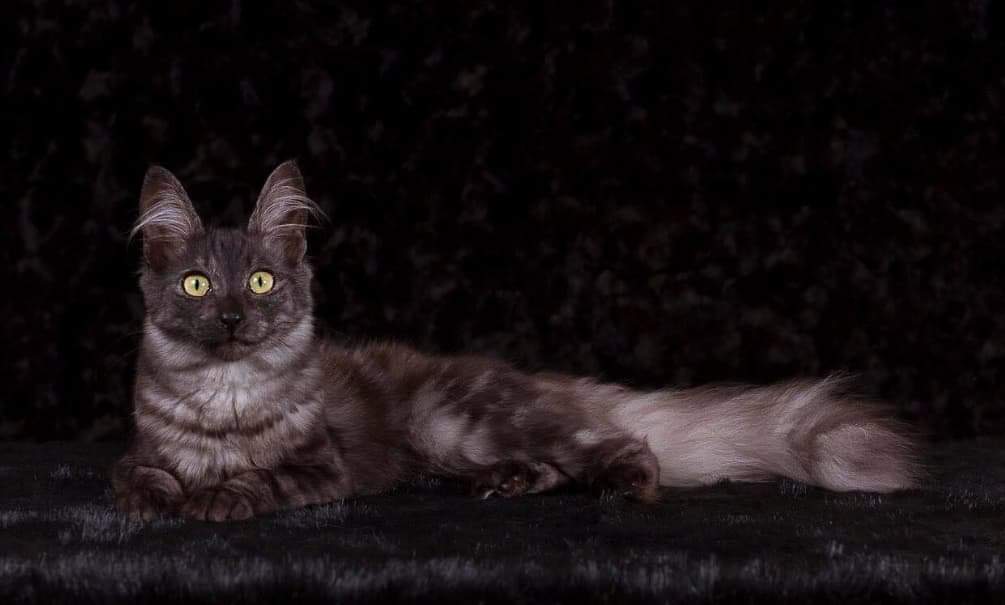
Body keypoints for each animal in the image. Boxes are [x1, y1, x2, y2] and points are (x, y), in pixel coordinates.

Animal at [110, 161, 920, 522]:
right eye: (195, 285)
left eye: (259, 283)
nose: (231, 320)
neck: (225, 399)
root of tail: (531, 379)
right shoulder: (140, 451)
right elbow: (142, 480)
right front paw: (165, 500)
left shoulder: (321, 467)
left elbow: (260, 479)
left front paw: (219, 496)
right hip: (459, 438)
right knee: (554, 461)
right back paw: (504, 484)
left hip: (459, 420)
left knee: (619, 446)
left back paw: (621, 486)